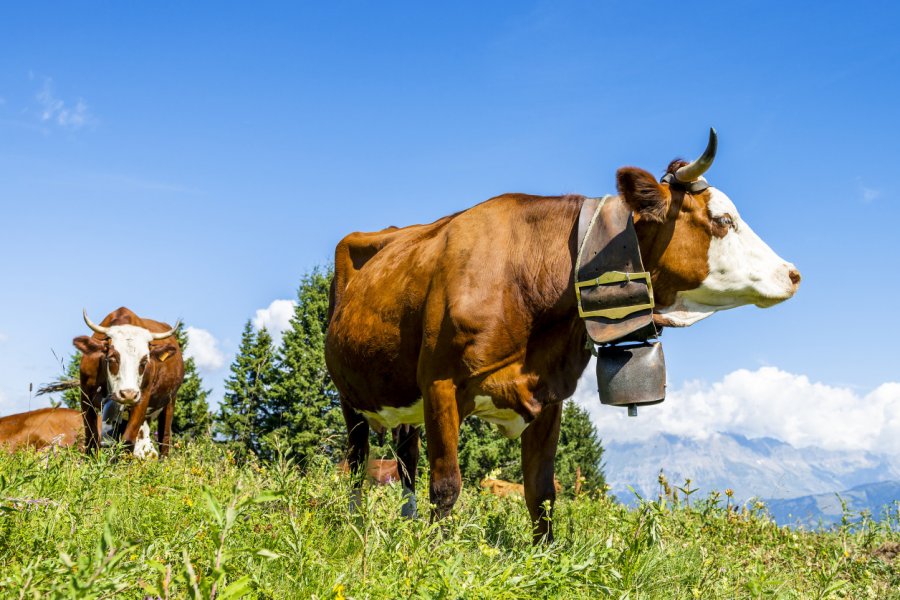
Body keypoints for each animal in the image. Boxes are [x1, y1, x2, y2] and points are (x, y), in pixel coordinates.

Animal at [74, 308, 186, 458]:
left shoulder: (142, 399)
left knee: (164, 439)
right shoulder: (86, 398)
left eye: (144, 361)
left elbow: (128, 440)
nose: (128, 394)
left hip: (170, 401)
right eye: (112, 358)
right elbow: (91, 439)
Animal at [326, 130, 800, 540]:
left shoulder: (549, 393)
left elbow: (542, 490)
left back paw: (404, 524)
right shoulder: (440, 383)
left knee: (405, 459)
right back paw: (353, 524)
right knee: (357, 461)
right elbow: (445, 485)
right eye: (723, 219)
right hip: (350, 395)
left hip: (403, 398)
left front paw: (545, 557)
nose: (792, 273)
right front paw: (432, 555)